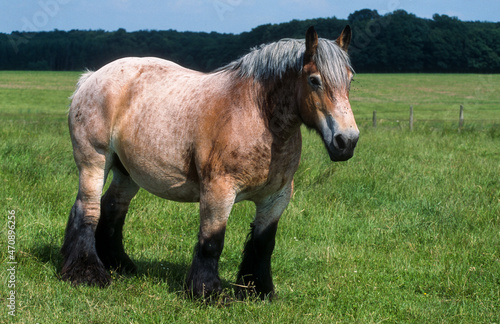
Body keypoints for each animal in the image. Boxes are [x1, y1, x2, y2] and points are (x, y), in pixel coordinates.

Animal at [61, 26, 360, 300]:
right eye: (314, 80)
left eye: (350, 79)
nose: (346, 141)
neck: (256, 114)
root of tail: (91, 77)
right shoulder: (219, 191)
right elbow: (212, 241)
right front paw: (208, 292)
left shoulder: (276, 198)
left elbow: (264, 243)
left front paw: (259, 290)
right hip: (94, 162)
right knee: (87, 210)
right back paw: (86, 272)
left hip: (127, 173)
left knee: (112, 208)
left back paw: (118, 263)